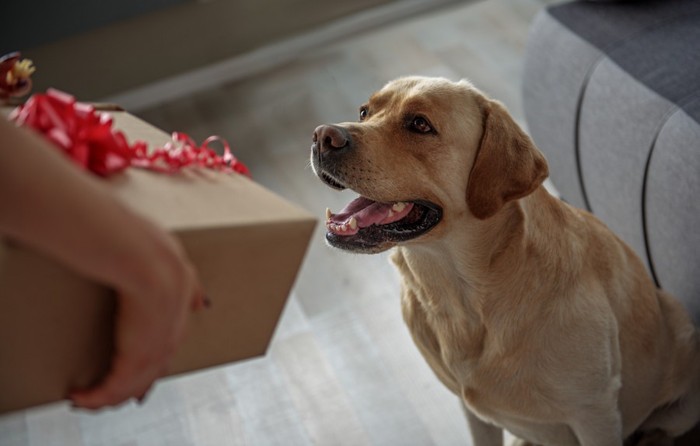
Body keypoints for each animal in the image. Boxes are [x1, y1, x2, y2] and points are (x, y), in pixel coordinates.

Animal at [312, 76, 700, 446]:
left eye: (420, 124)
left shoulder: (596, 413)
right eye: (364, 112)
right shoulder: (474, 412)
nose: (322, 136)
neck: (462, 298)